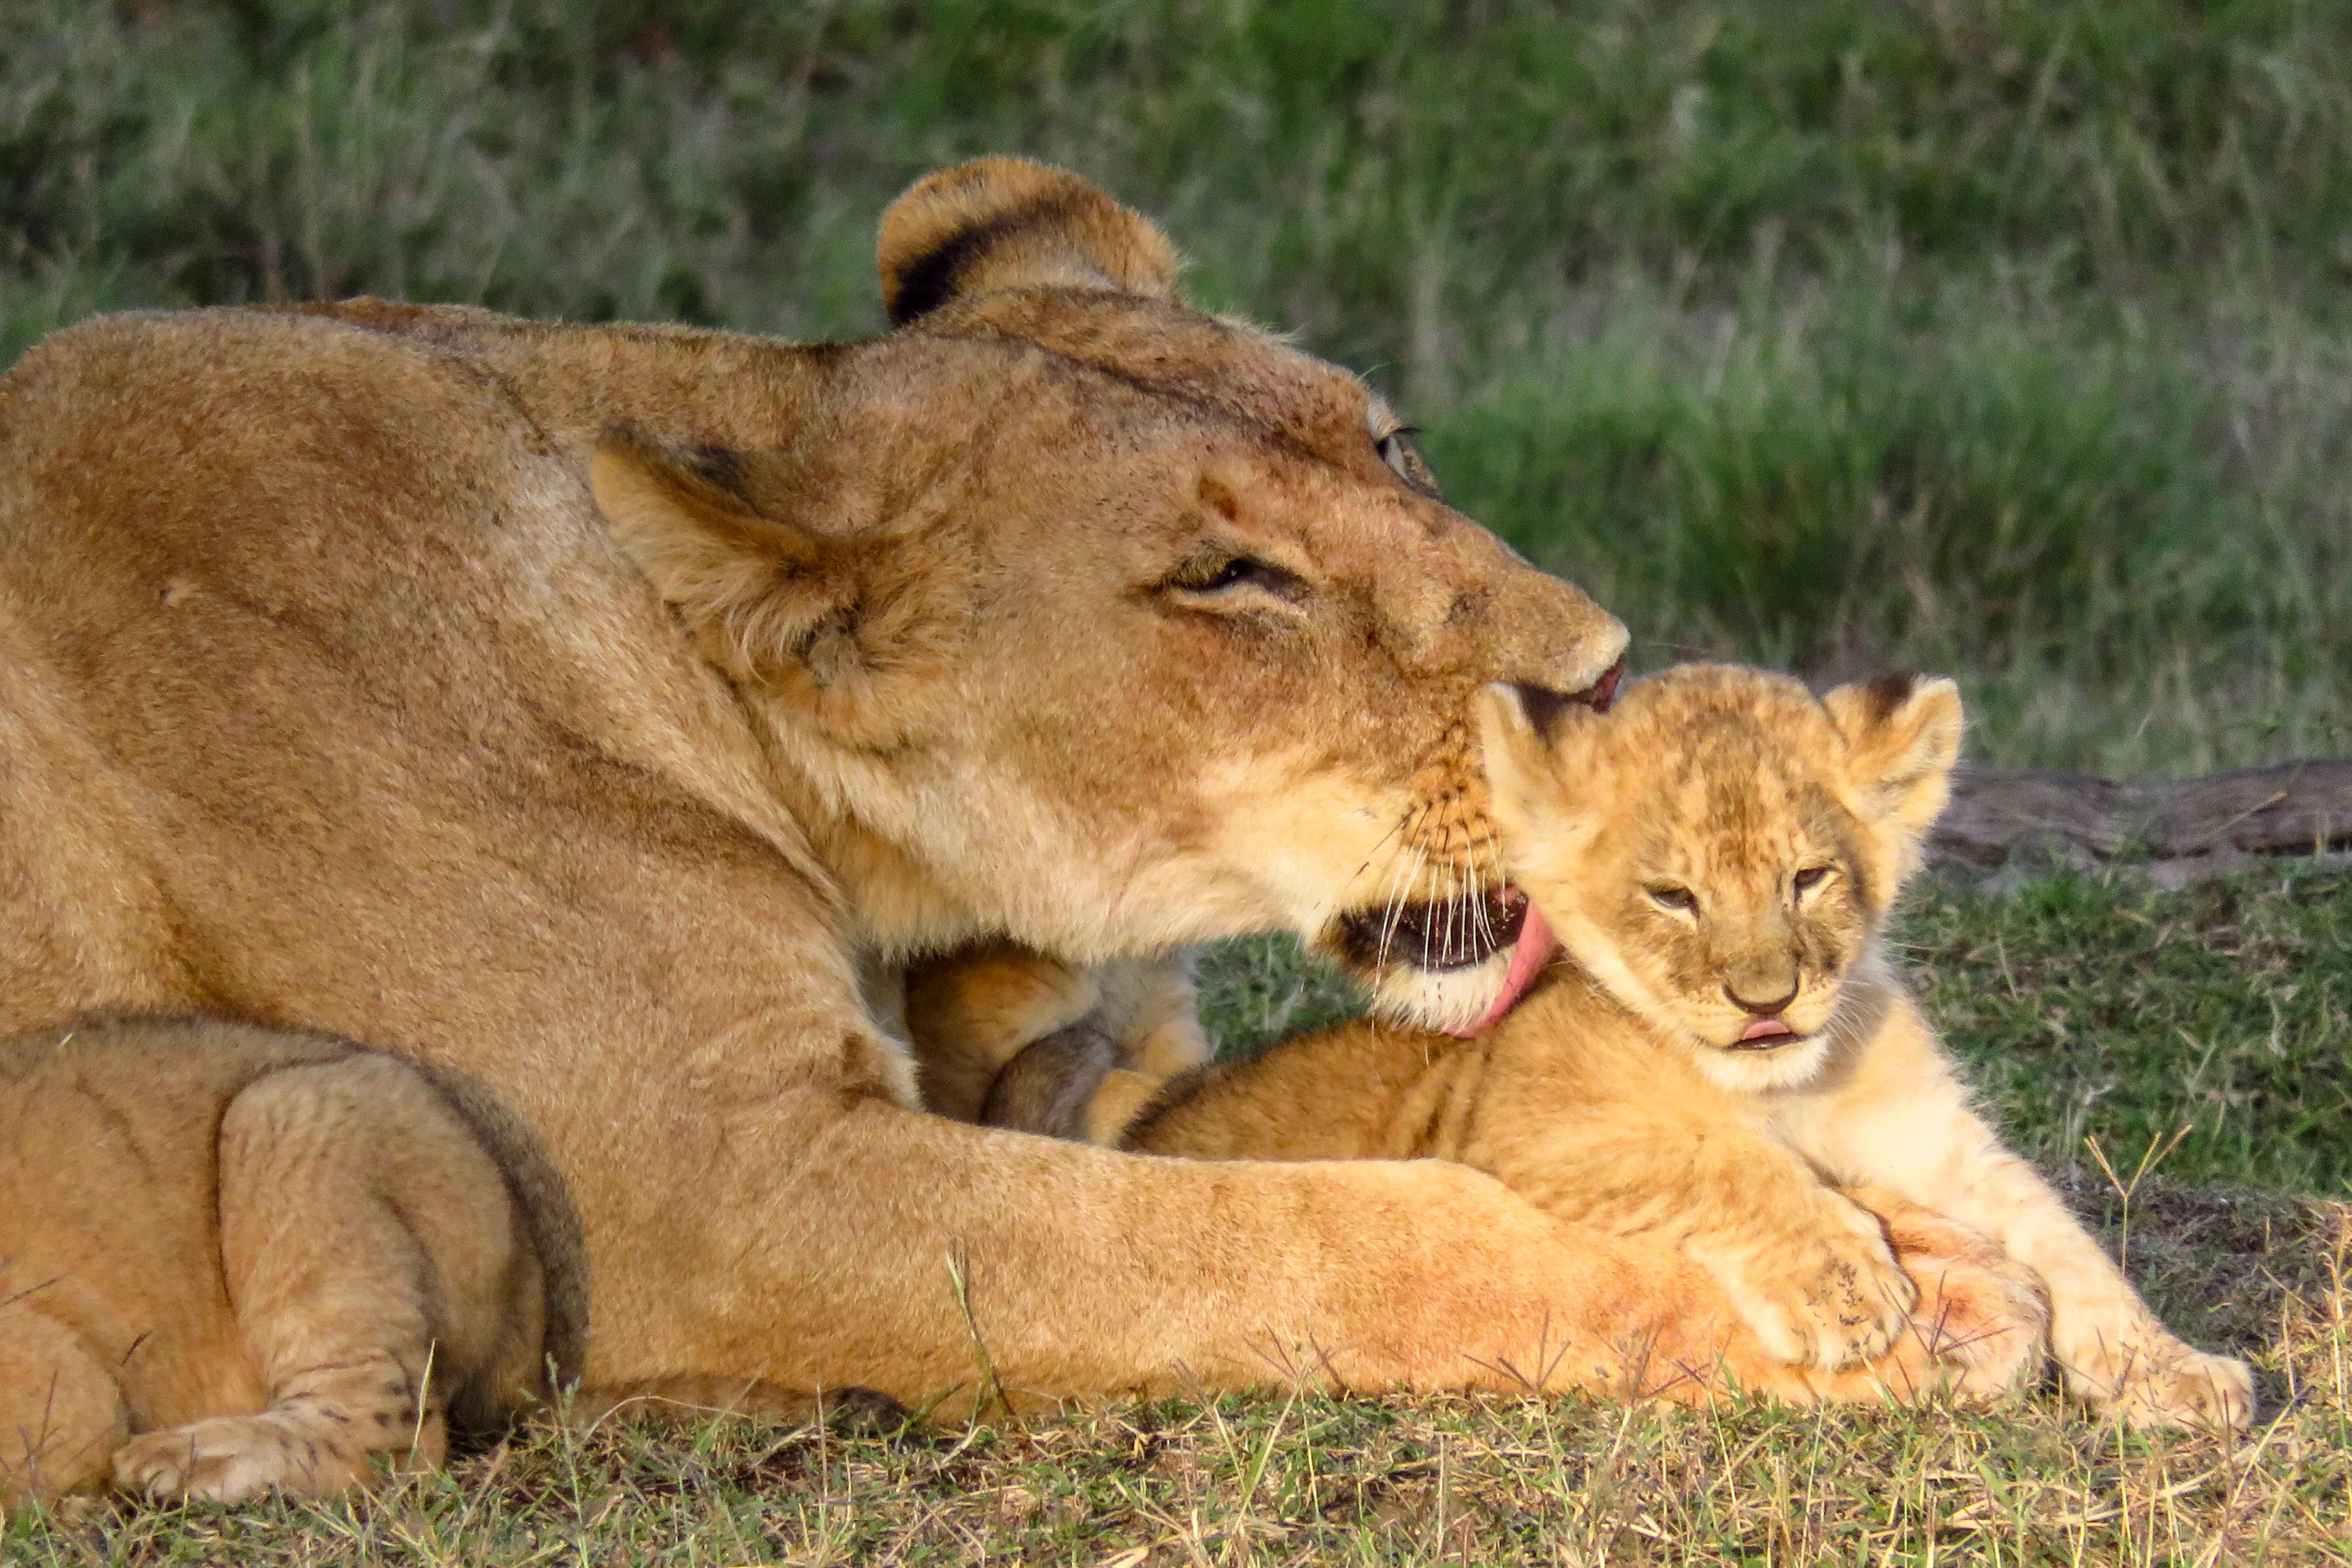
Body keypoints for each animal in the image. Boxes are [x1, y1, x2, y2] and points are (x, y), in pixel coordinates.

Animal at [0, 154, 2039, 1432]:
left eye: (1389, 444)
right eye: (1231, 583)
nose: (1604, 672)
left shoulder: (1082, 1084)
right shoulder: (714, 1194)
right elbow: (1344, 1234)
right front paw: (1910, 1303)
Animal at [948, 666, 2252, 1427]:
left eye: (1809, 877)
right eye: (1672, 896)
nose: (1766, 998)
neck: (1784, 1083)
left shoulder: (1934, 1140)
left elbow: (2062, 1235)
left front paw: (2175, 1372)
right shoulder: (1523, 1124)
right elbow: (1720, 1159)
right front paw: (1847, 1288)